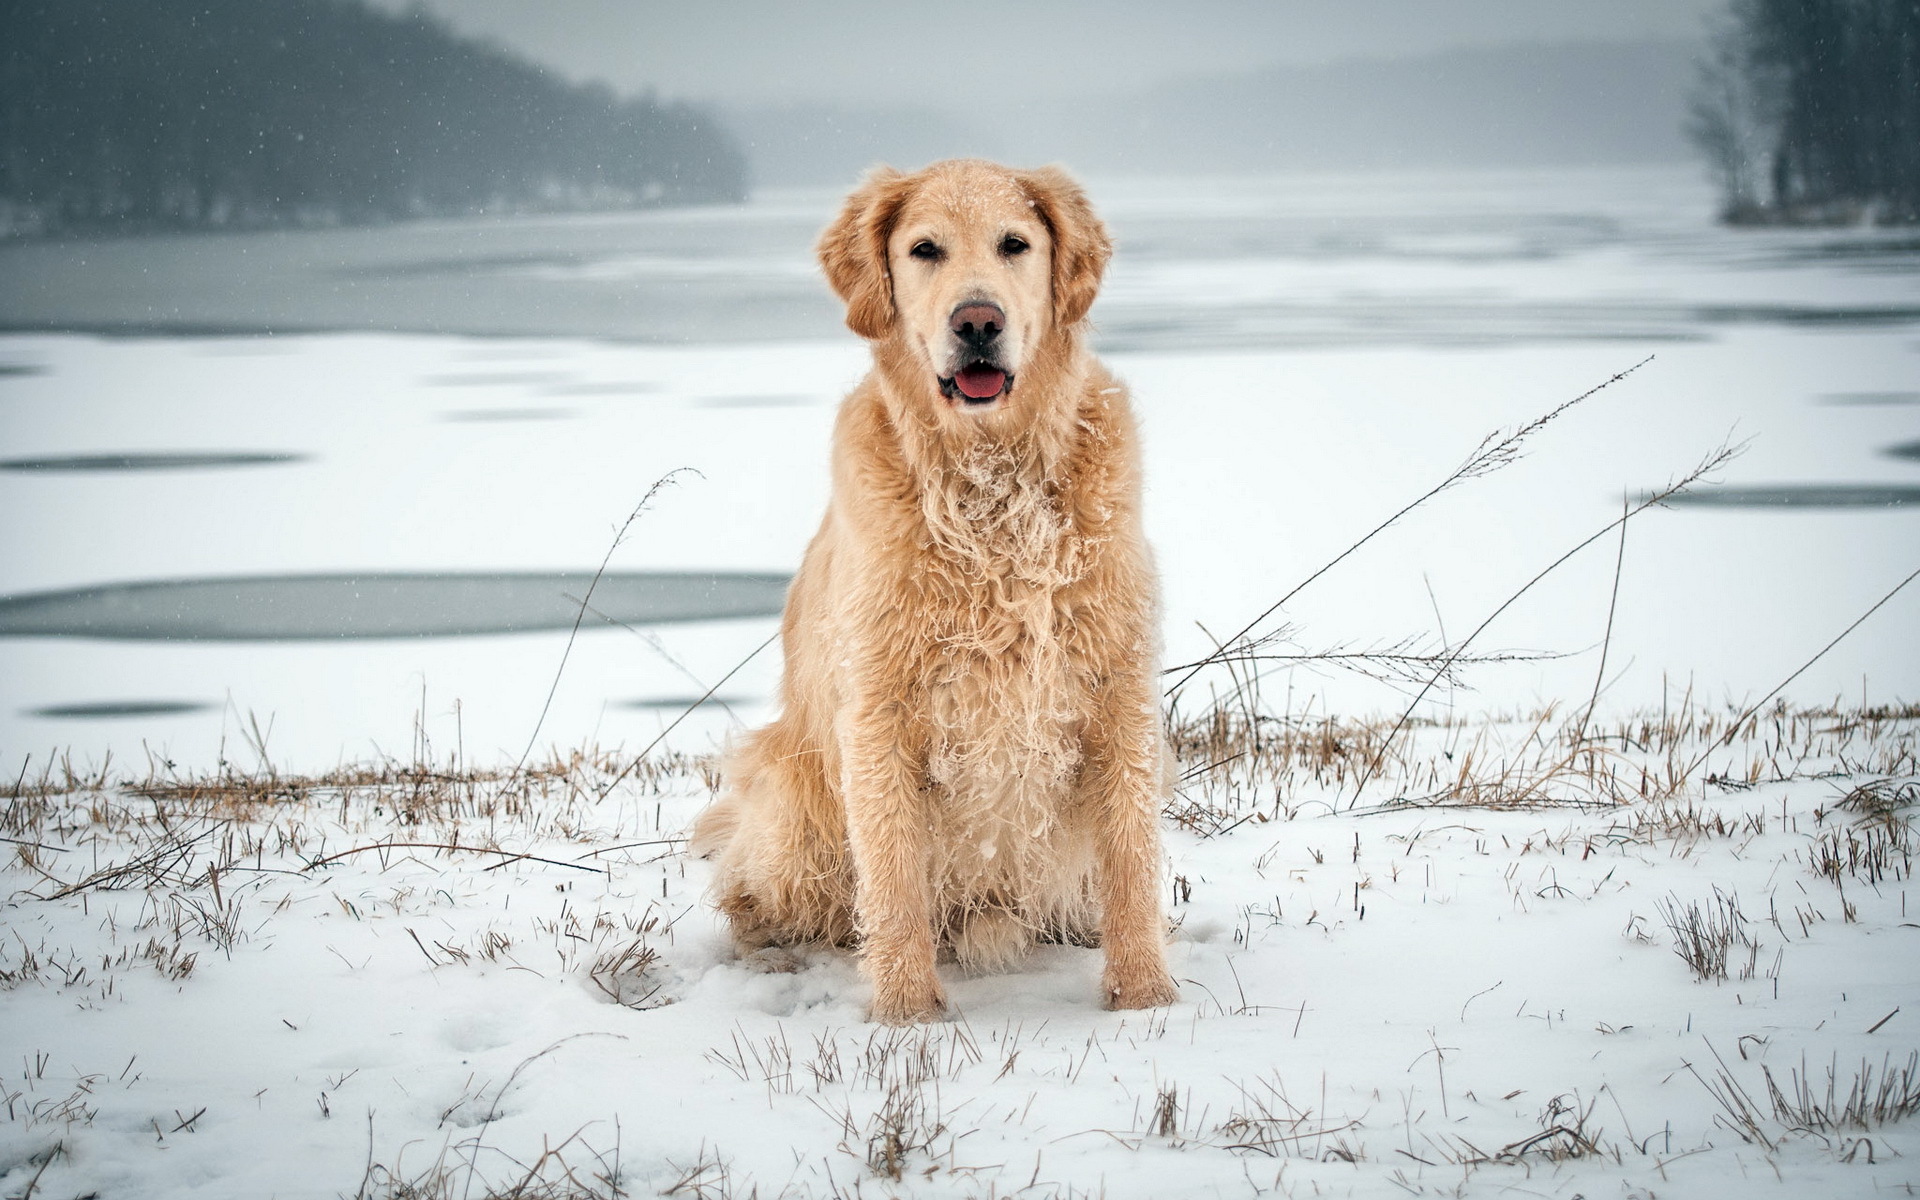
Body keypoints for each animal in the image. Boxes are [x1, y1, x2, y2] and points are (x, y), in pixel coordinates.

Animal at [691, 159, 1167, 1021]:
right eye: (924, 250)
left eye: (1015, 244)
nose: (977, 320)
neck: (990, 483)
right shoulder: (879, 713)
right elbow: (892, 883)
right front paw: (908, 1014)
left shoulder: (1120, 692)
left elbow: (1131, 860)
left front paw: (1146, 999)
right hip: (792, 798)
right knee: (750, 895)